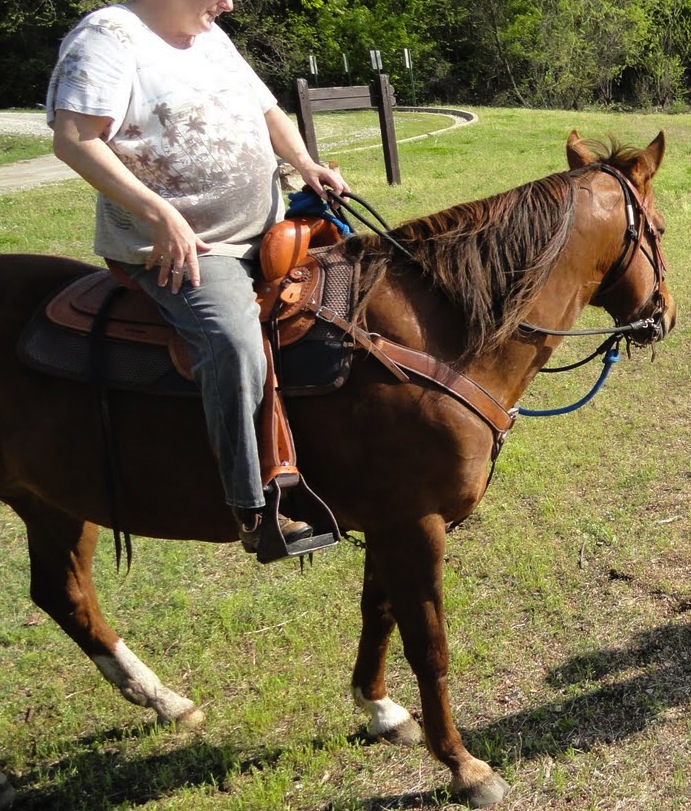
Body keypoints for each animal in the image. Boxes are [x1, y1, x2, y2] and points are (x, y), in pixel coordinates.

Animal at [0, 130, 676, 809]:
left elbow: (377, 612)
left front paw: (379, 709)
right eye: (662, 229)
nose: (665, 316)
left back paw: (163, 700)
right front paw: (462, 766)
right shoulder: (414, 523)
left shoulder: (389, 521)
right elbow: (428, 645)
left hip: (56, 502)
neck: (435, 337)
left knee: (62, 593)